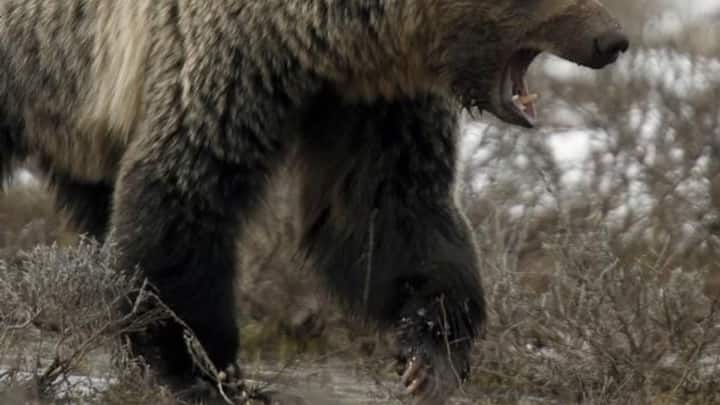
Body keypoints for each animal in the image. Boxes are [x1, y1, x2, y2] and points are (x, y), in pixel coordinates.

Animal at [0, 0, 628, 403]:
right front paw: (197, 366)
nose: (613, 40)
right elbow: (183, 199)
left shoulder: (371, 100)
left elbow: (388, 209)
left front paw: (431, 354)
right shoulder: (222, 67)